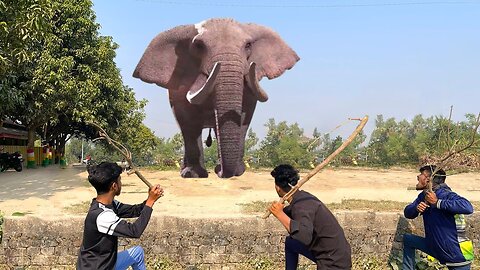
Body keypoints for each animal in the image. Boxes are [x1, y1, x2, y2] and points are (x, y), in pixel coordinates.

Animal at [133, 17, 298, 178]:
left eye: (248, 45)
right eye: (199, 46)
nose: (220, 172)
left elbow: (244, 118)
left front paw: (237, 173)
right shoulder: (179, 90)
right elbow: (188, 120)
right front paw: (194, 175)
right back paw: (186, 172)